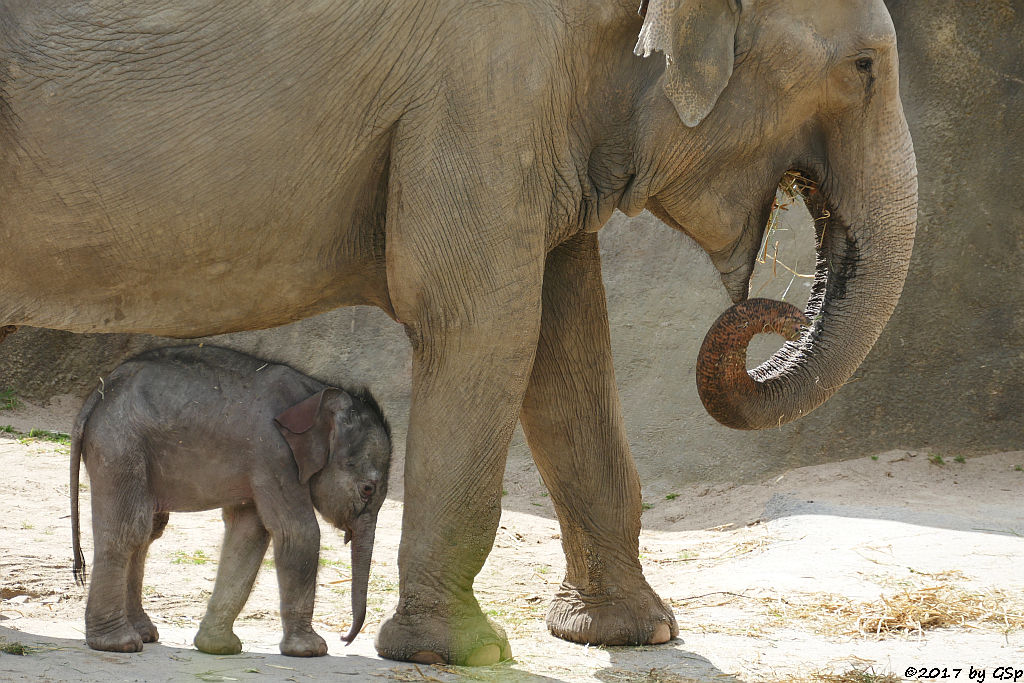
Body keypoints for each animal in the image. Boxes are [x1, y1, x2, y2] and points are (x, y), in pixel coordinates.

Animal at [69, 348, 391, 655]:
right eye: (367, 489)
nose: (345, 639)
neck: (316, 391)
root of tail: (100, 391)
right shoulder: (273, 454)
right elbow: (298, 532)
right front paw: (311, 650)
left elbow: (248, 535)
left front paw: (218, 647)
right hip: (119, 446)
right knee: (128, 531)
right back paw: (119, 643)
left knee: (148, 531)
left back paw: (144, 634)